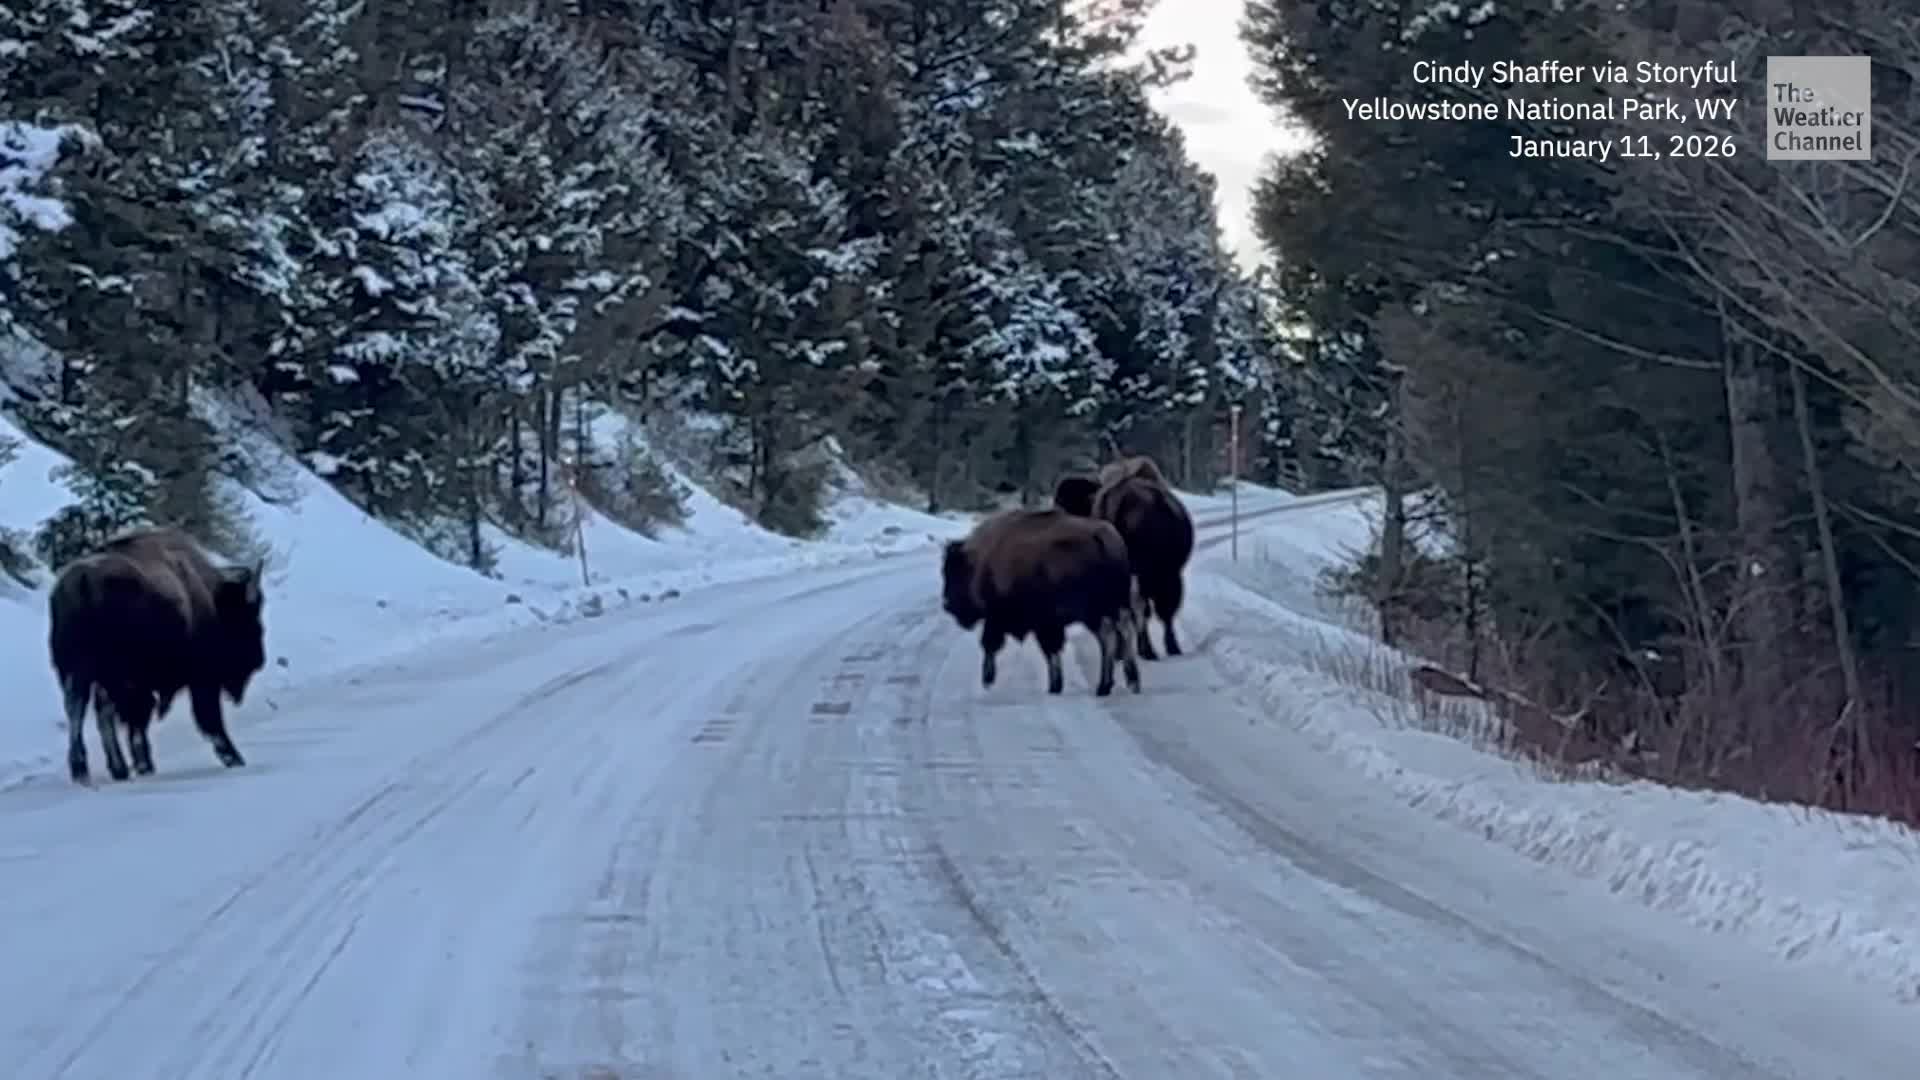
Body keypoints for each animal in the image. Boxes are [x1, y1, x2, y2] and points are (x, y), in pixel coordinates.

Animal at [48, 526, 266, 784]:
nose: (259, 660)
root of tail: (81, 581)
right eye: (248, 617)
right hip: (110, 674)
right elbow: (208, 717)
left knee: (80, 710)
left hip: (78, 671)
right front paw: (233, 757)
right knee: (108, 712)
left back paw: (95, 769)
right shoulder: (201, 679)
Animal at [940, 507, 1142, 697]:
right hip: (1109, 607)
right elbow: (1050, 651)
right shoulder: (1044, 624)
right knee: (1117, 635)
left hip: (1095, 611)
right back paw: (1122, 684)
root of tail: (1102, 538)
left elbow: (993, 644)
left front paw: (988, 680)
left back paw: (1109, 685)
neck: (982, 561)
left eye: (953, 573)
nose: (947, 604)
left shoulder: (1006, 618)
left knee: (1111, 637)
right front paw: (1055, 685)